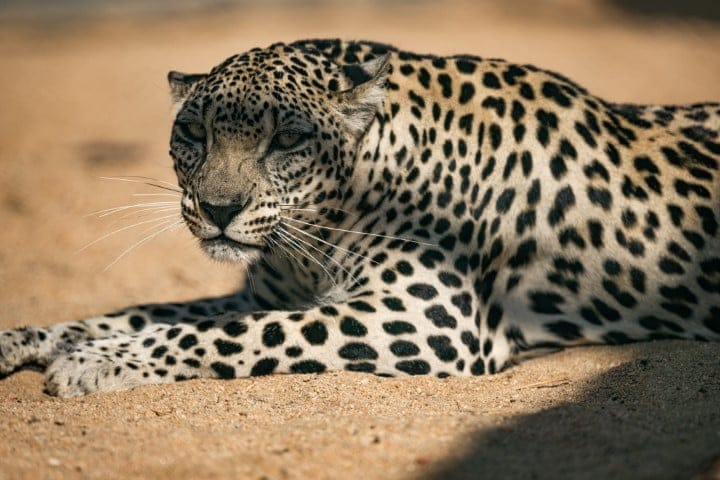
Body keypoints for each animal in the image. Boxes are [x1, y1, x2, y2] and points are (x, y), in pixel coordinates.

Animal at [1, 39, 720, 396]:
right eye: (194, 133)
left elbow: (229, 333)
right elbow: (140, 312)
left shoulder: (428, 318)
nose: (218, 209)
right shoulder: (266, 291)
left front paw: (98, 362)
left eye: (289, 139)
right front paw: (34, 340)